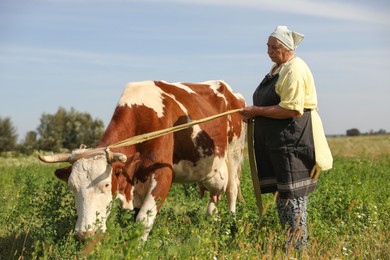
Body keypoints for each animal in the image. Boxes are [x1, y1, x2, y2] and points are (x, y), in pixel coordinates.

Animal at [40, 80, 247, 241]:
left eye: (106, 185)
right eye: (72, 186)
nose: (85, 234)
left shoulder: (164, 173)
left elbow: (143, 220)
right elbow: (134, 218)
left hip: (234, 154)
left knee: (231, 191)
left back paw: (230, 224)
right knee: (215, 195)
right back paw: (212, 219)